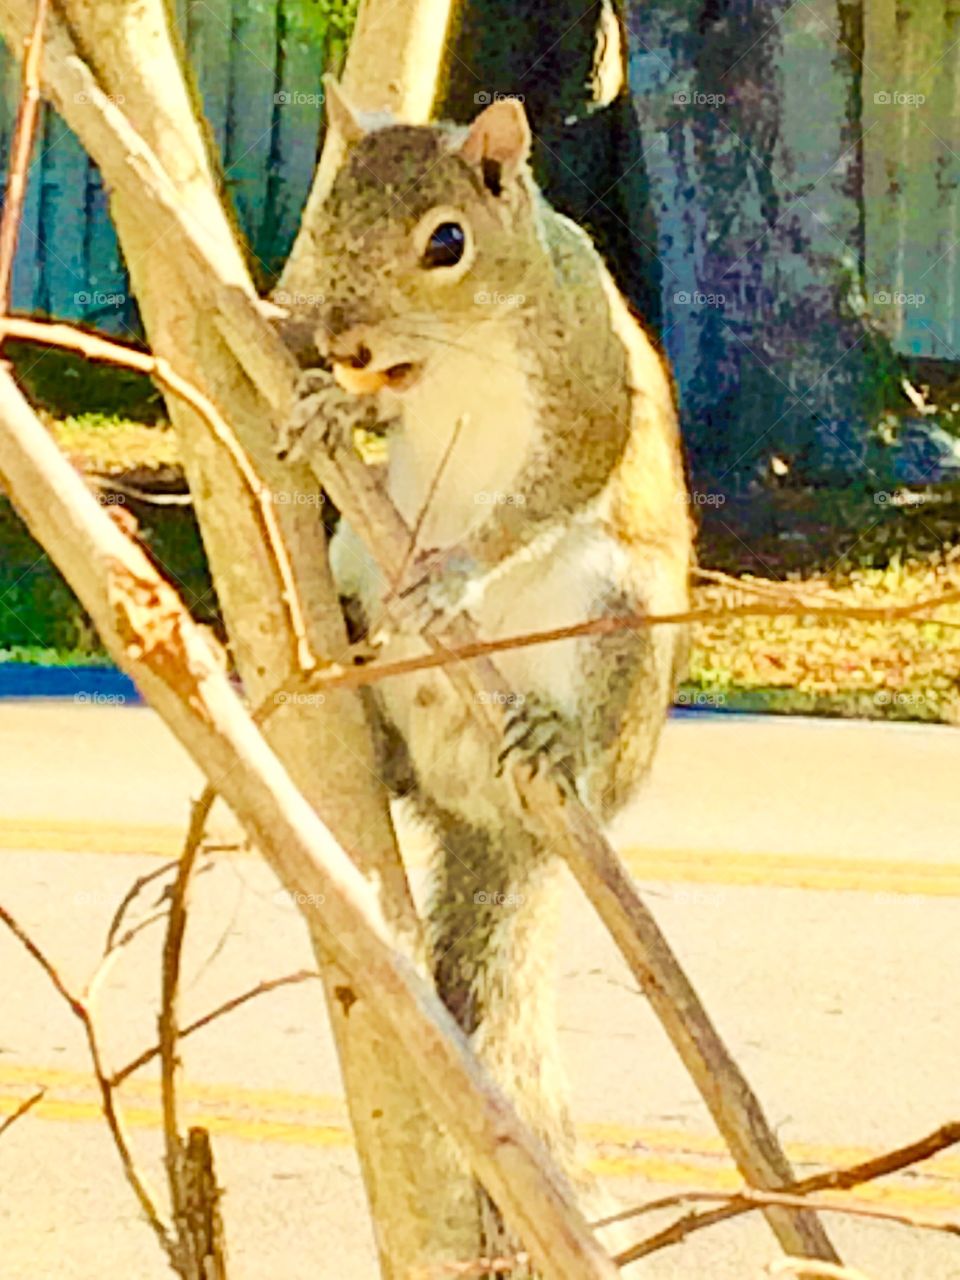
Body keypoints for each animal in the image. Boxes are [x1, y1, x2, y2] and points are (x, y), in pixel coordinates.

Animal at [276, 80, 693, 1259]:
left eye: (446, 242)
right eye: (328, 212)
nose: (341, 339)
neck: (463, 346)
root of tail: (497, 827)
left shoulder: (588, 379)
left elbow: (554, 482)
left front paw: (459, 568)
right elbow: (376, 411)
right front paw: (330, 406)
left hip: (622, 617)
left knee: (587, 737)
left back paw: (552, 741)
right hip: (355, 556)